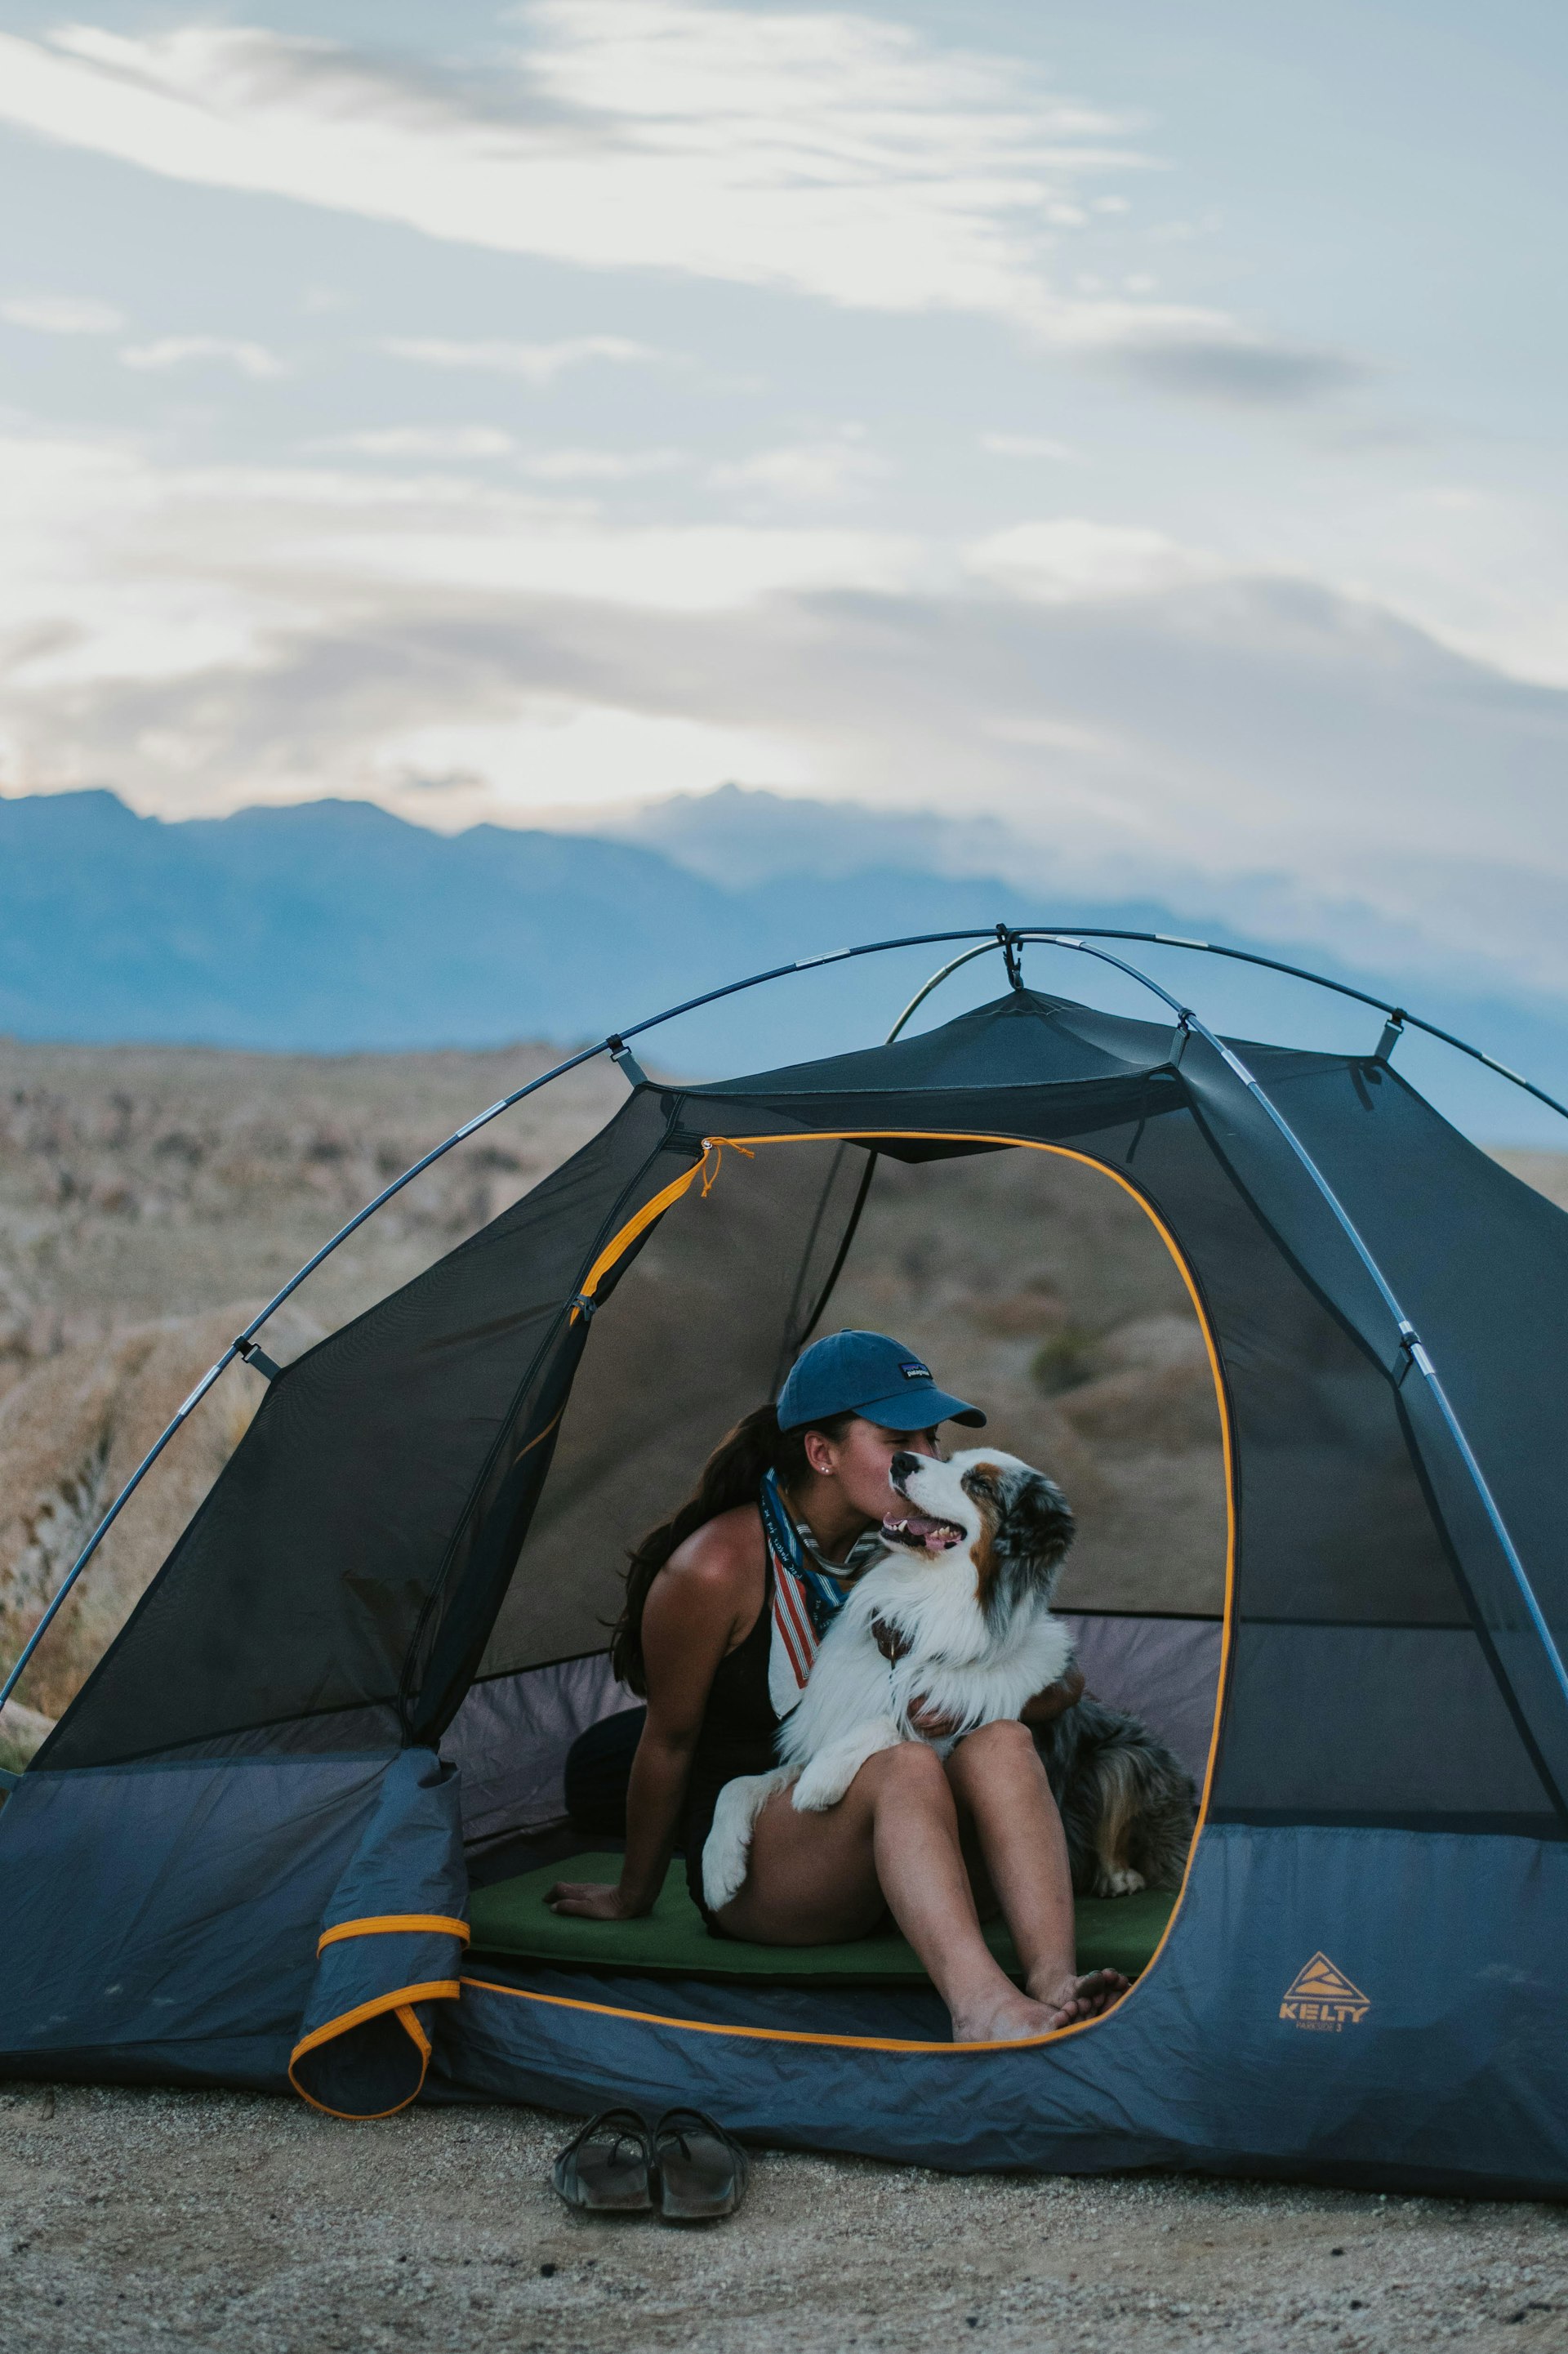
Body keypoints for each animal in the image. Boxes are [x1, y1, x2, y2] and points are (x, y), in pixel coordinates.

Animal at [702, 1440, 1191, 1920]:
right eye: (947, 1459)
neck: (915, 1620)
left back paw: (1118, 1875)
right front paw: (719, 1867)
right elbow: (740, 1784)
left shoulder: (948, 1729)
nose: (900, 1461)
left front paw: (820, 1780)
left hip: (1125, 1756)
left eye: (980, 1485)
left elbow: (892, 1723)